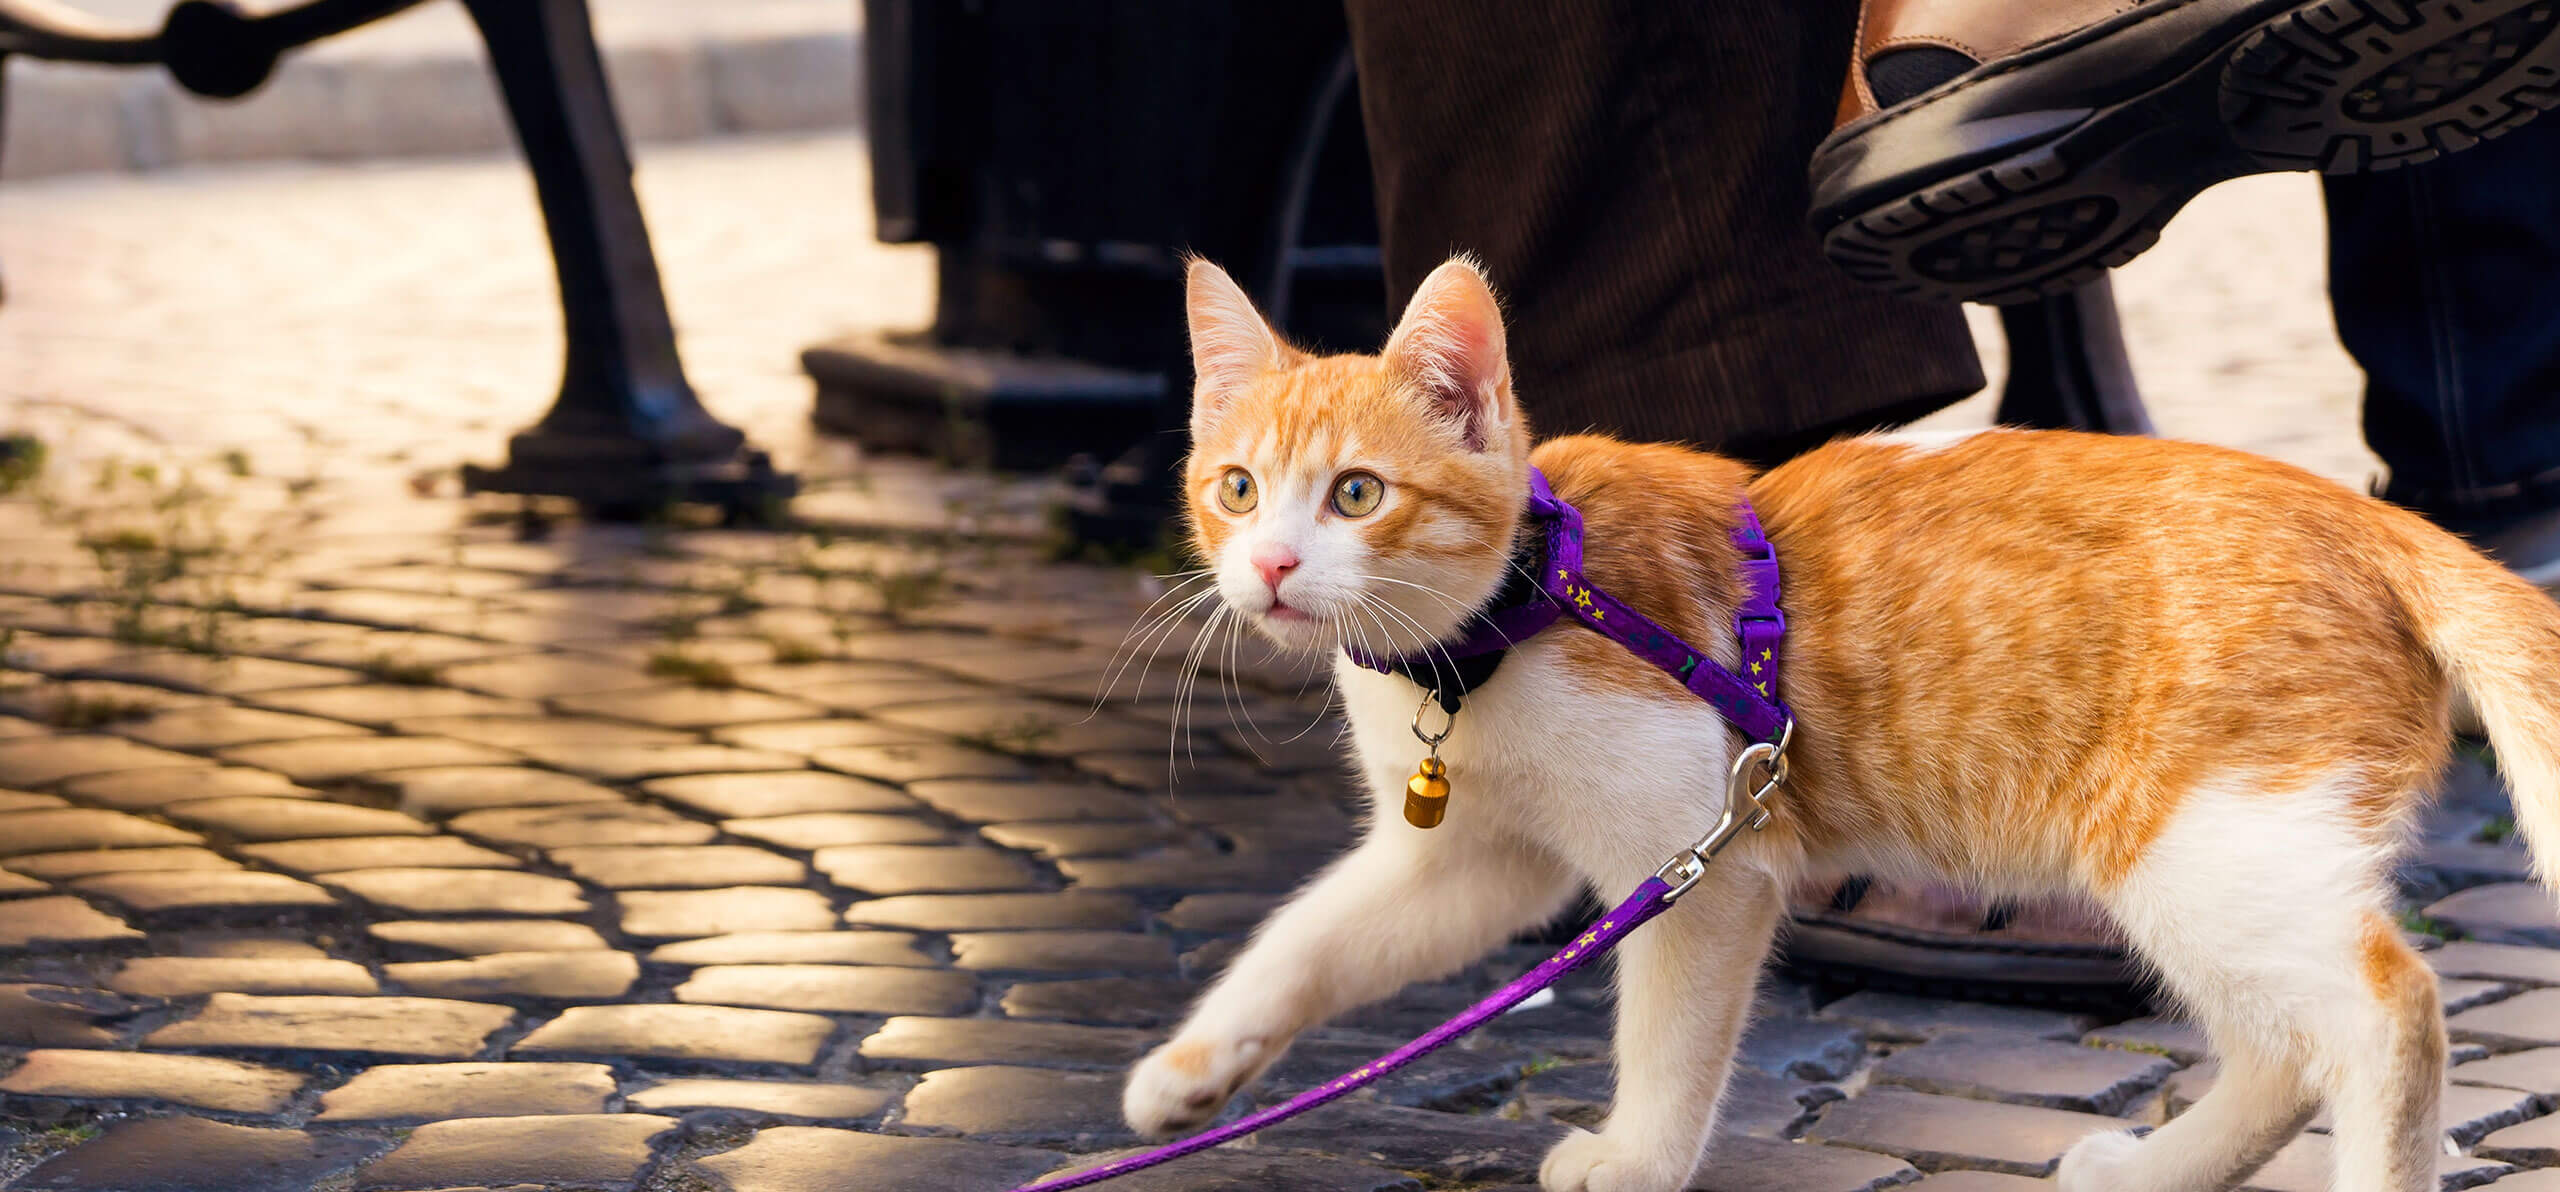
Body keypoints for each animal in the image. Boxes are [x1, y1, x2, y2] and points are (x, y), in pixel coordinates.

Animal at [1126, 253, 2560, 1192]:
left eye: (1358, 495)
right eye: (1236, 488)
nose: (1269, 569)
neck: (1496, 630)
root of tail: (2368, 516)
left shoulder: (1698, 860)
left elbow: (1667, 1034)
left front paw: (1636, 1156)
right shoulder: (1474, 859)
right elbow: (1310, 940)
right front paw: (1192, 1071)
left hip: (2209, 840)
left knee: (2385, 1014)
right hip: (2194, 858)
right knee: (2279, 1046)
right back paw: (2155, 1168)